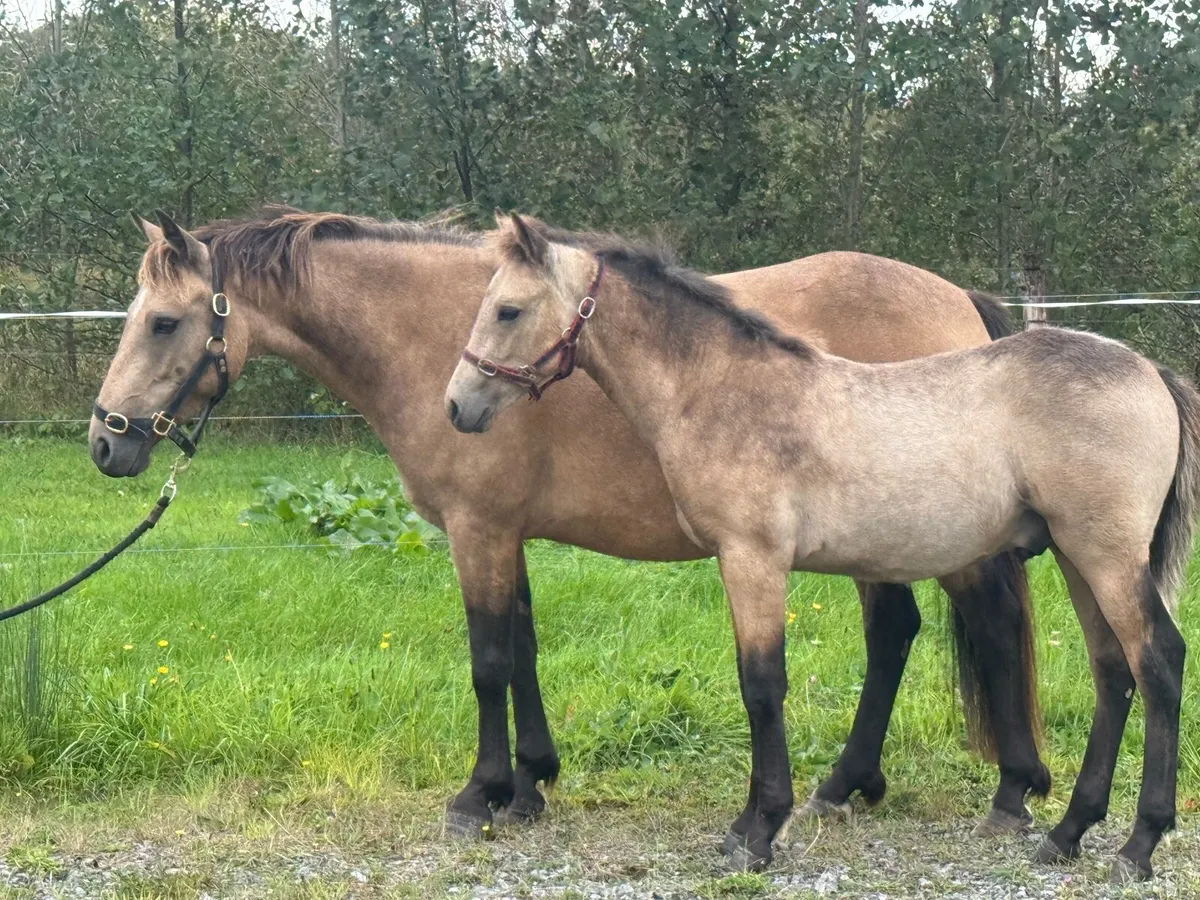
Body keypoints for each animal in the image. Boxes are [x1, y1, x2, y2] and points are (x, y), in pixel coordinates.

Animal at [89, 207, 1046, 844]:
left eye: (164, 321)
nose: (107, 440)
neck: (430, 335)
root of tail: (961, 302)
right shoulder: (504, 533)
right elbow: (522, 650)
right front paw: (530, 784)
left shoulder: (476, 529)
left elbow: (486, 661)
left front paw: (480, 795)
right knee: (896, 635)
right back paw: (848, 784)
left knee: (988, 629)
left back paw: (1012, 791)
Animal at [446, 213, 1199, 881]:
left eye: (508, 310)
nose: (458, 407)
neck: (722, 391)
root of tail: (1154, 374)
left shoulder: (752, 558)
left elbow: (761, 686)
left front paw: (756, 832)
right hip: (1078, 559)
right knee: (1113, 671)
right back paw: (1066, 834)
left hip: (1104, 556)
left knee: (1158, 662)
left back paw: (1137, 846)